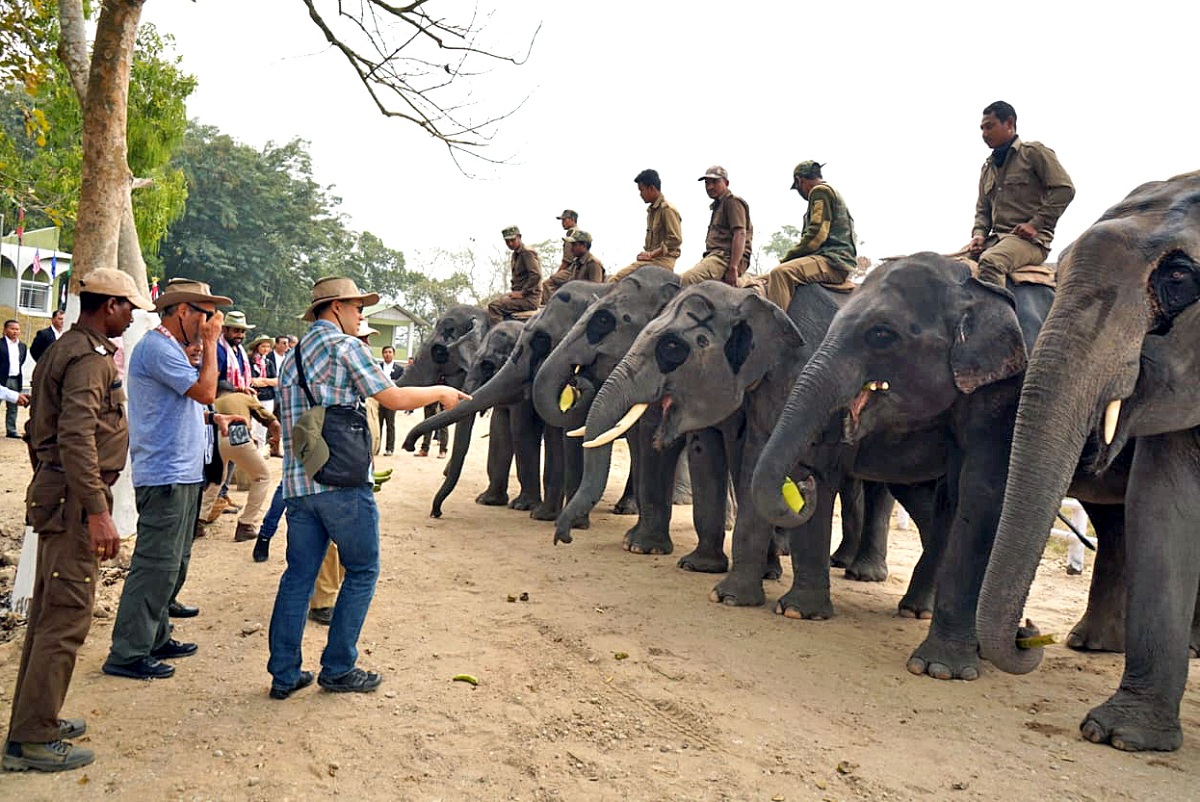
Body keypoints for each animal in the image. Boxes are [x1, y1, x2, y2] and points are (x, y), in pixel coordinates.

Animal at [432, 321, 544, 516]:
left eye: (487, 366)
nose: (436, 513)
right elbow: (499, 429)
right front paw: (487, 501)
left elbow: (521, 429)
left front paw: (522, 506)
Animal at [748, 253, 1070, 681]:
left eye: (882, 335)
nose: (801, 489)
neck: (970, 284)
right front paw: (798, 613)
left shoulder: (1008, 386)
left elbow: (982, 490)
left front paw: (940, 670)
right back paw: (914, 606)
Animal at [974, 174, 1200, 753]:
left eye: (1181, 277)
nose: (1029, 632)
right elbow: (1164, 503)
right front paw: (1121, 735)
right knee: (1116, 524)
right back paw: (1092, 644)